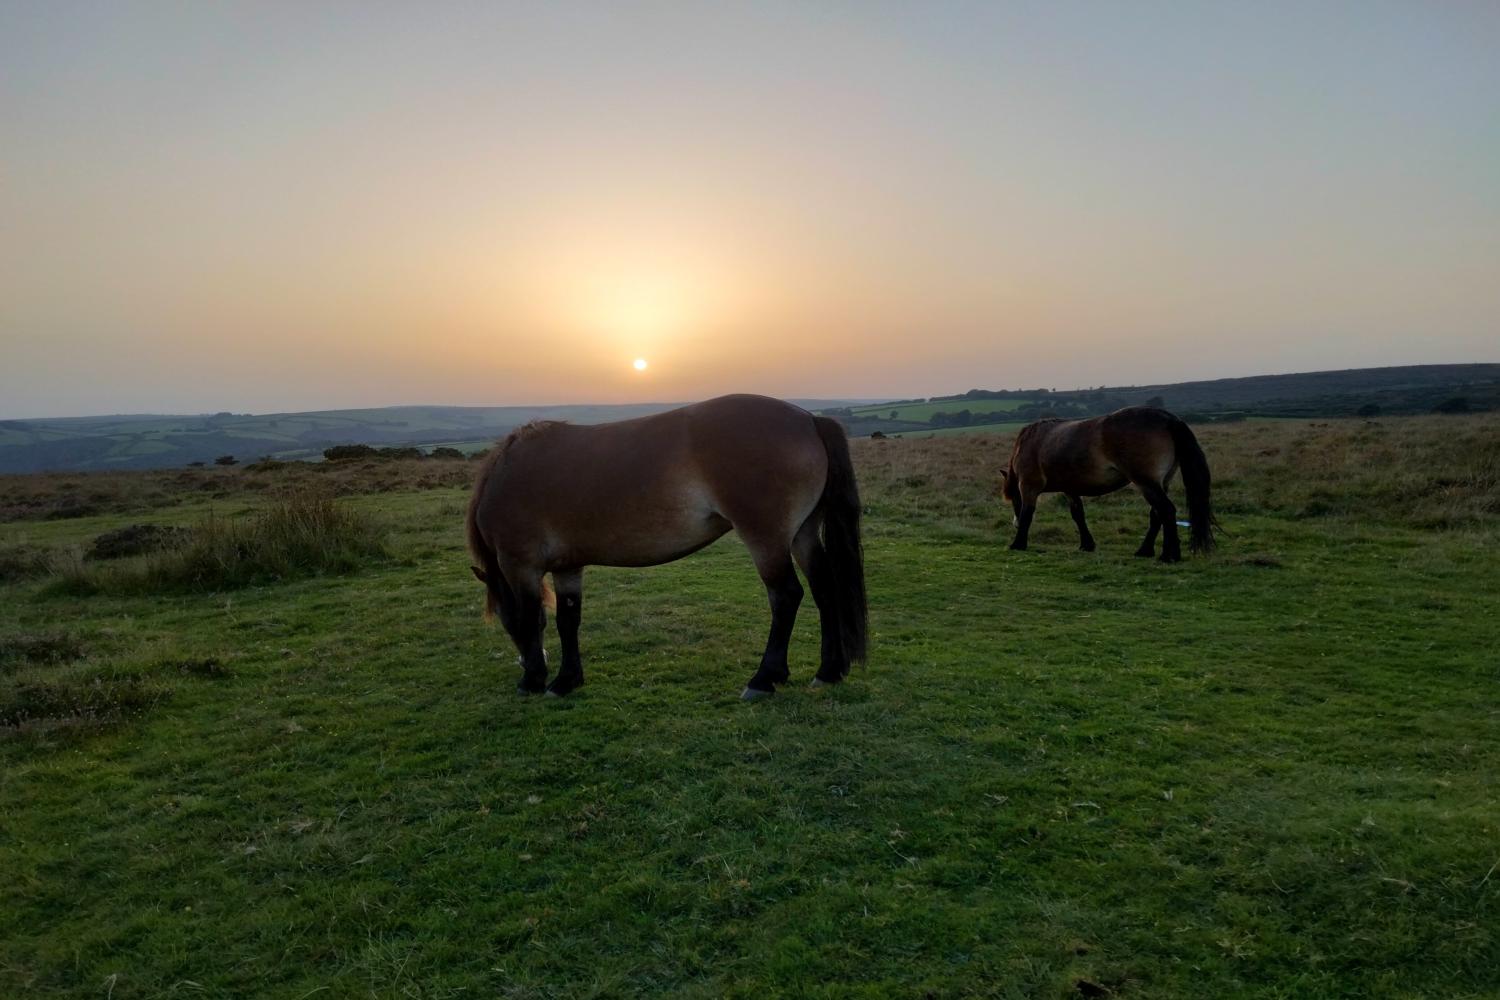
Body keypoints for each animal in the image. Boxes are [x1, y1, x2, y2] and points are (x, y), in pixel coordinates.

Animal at [465, 389, 870, 695]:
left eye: (503, 621)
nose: (530, 666)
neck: (507, 475)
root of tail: (809, 419)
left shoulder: (520, 565)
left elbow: (531, 614)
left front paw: (533, 680)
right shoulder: (568, 566)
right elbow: (568, 619)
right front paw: (566, 680)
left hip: (767, 540)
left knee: (786, 597)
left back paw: (764, 679)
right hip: (802, 535)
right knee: (824, 590)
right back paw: (829, 671)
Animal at [996, 407, 1218, 563]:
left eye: (1013, 498)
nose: (1014, 523)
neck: (1029, 442)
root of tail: (1169, 419)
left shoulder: (1028, 486)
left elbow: (1027, 513)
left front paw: (1018, 543)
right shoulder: (1070, 489)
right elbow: (1078, 515)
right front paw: (1086, 544)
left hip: (1146, 483)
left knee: (1166, 511)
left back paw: (1169, 556)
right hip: (1161, 483)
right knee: (1157, 514)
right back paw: (1146, 551)